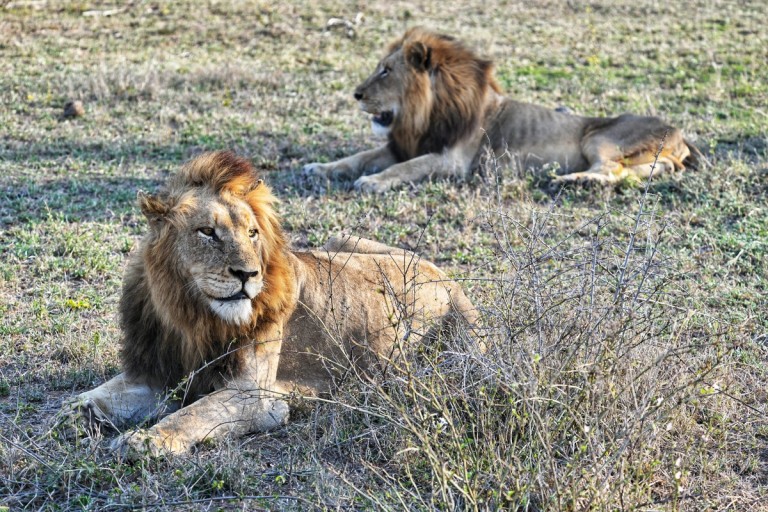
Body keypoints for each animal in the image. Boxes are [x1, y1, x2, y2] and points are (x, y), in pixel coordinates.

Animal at [58, 151, 478, 456]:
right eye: (207, 232)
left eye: (252, 233)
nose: (248, 274)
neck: (189, 315)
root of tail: (444, 275)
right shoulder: (156, 375)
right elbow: (91, 398)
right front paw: (74, 415)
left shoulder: (256, 396)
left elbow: (190, 416)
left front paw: (145, 441)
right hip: (342, 239)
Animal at [303, 27, 701, 193]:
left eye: (386, 70)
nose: (356, 94)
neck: (421, 115)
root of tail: (680, 134)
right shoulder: (401, 144)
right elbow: (356, 158)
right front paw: (317, 168)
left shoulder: (450, 159)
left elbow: (405, 168)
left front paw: (372, 182)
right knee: (643, 171)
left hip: (599, 138)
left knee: (609, 169)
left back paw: (572, 181)